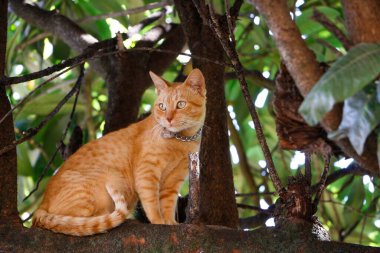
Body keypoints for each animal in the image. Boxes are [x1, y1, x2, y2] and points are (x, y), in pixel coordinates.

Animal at [31, 68, 206, 235]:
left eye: (181, 104)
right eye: (162, 106)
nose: (168, 119)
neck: (182, 140)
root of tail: (40, 207)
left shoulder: (173, 181)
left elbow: (167, 205)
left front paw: (170, 222)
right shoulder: (146, 173)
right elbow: (152, 204)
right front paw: (158, 221)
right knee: (78, 222)